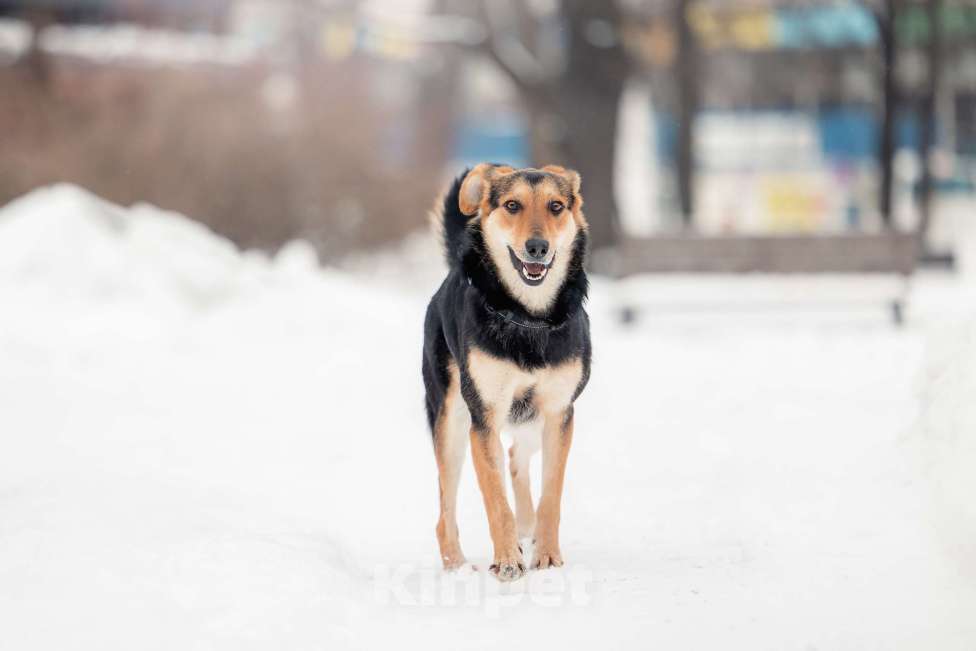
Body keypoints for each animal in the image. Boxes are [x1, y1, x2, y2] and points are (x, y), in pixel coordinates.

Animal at [418, 166, 588, 584]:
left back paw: (527, 530)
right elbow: (496, 499)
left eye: (556, 206)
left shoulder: (558, 414)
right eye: (512, 205)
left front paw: (546, 555)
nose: (537, 247)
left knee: (516, 456)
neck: (528, 316)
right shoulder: (485, 417)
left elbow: (551, 494)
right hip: (451, 421)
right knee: (445, 511)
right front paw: (508, 560)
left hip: (531, 421)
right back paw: (457, 566)